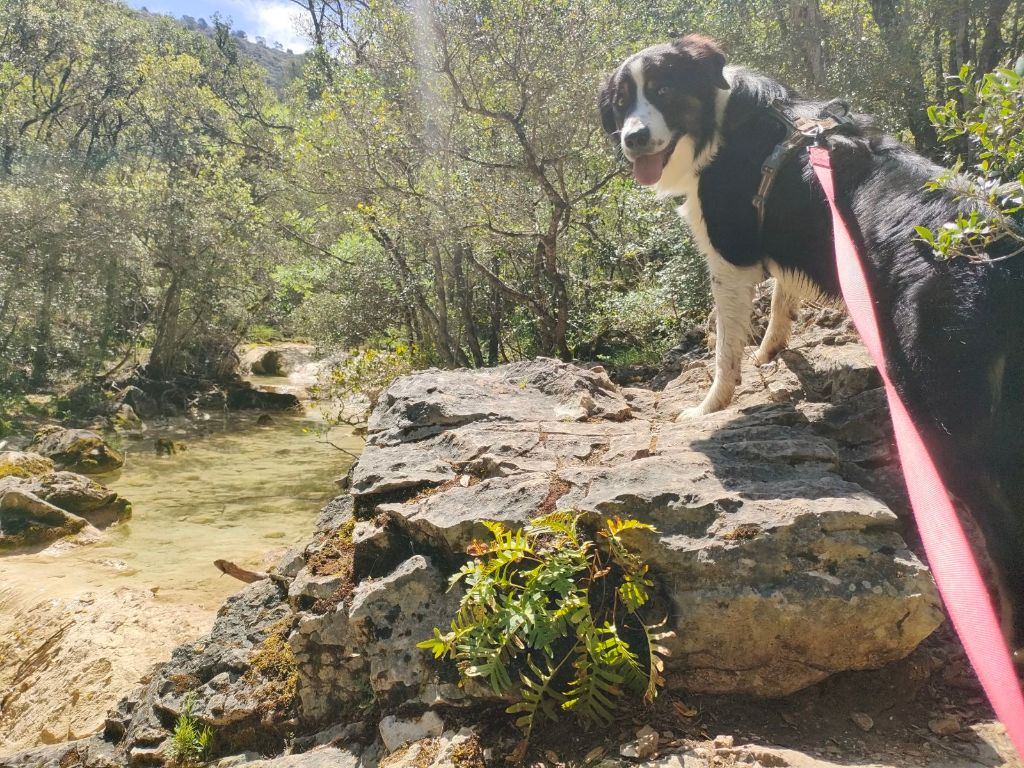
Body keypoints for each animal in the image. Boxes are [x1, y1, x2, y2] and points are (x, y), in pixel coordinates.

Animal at [598, 37, 1024, 651]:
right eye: (620, 102)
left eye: (661, 91)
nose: (632, 137)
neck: (721, 123)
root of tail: (1003, 256)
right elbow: (782, 296)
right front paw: (772, 349)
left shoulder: (730, 258)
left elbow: (724, 345)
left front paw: (710, 405)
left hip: (943, 410)